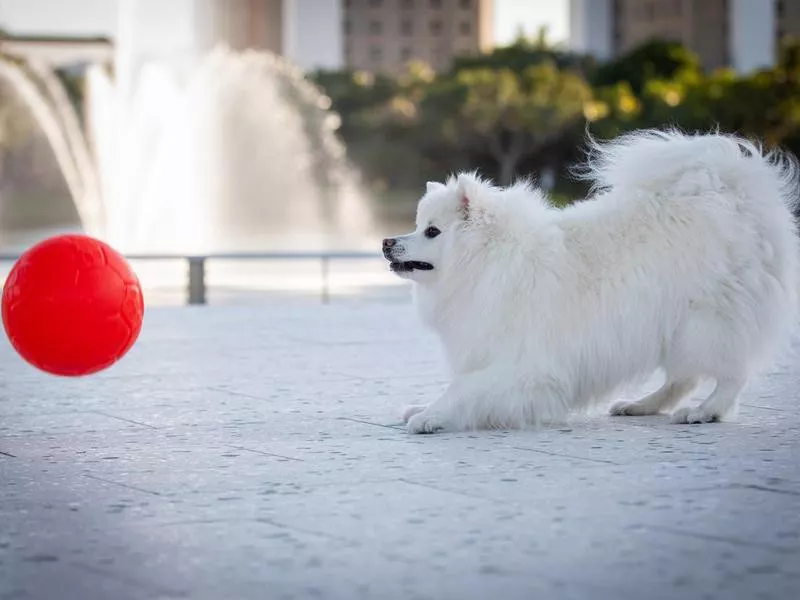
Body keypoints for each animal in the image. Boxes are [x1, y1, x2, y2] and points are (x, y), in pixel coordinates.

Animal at [382, 130, 800, 436]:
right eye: (417, 225)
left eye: (432, 231)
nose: (386, 242)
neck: (489, 262)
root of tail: (733, 193)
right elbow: (463, 386)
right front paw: (425, 407)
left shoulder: (526, 366)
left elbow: (464, 388)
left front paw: (431, 417)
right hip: (673, 327)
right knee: (684, 376)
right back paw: (641, 405)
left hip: (706, 320)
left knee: (731, 373)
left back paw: (705, 411)